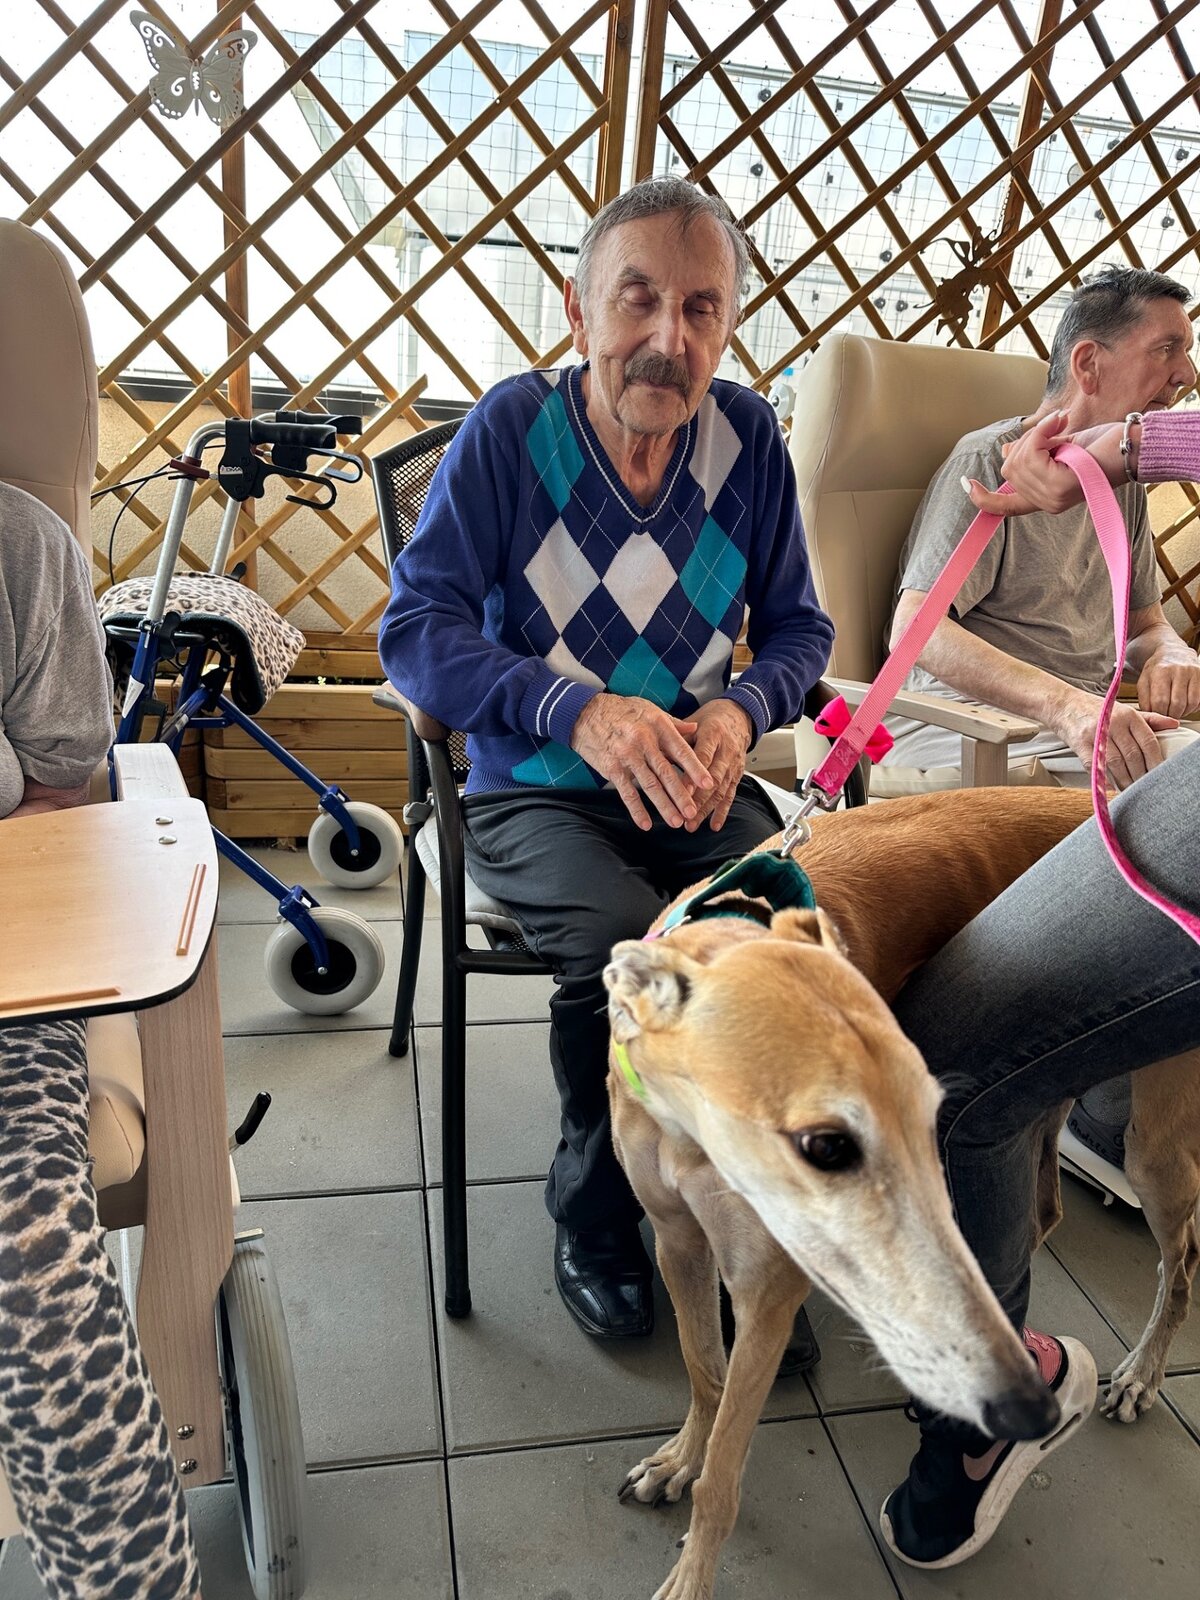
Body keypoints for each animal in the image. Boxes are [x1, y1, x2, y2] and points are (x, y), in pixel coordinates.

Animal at [604, 786, 1199, 1599]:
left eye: (923, 1112)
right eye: (827, 1145)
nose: (1027, 1408)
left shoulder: (769, 1288)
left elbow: (723, 1475)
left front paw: (691, 1574)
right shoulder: (678, 1239)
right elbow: (702, 1370)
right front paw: (679, 1458)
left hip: (1152, 1138)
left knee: (1182, 1257)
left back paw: (1137, 1374)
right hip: (1037, 1089)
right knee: (1043, 1208)